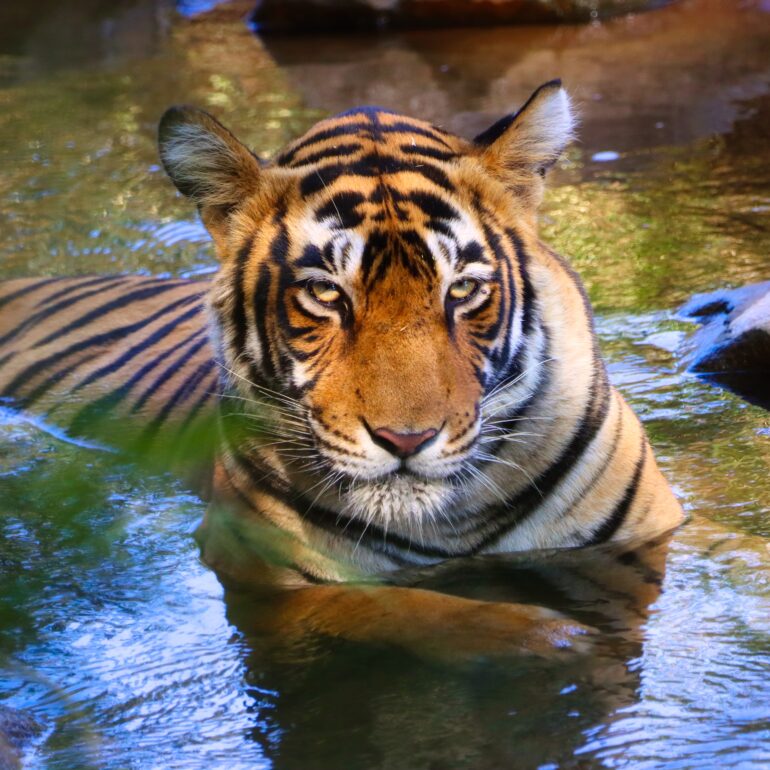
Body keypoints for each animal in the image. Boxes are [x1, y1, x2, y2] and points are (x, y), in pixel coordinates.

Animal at [0, 81, 683, 656]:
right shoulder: (264, 578)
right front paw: (554, 636)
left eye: (462, 290)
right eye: (327, 294)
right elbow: (424, 610)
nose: (406, 439)